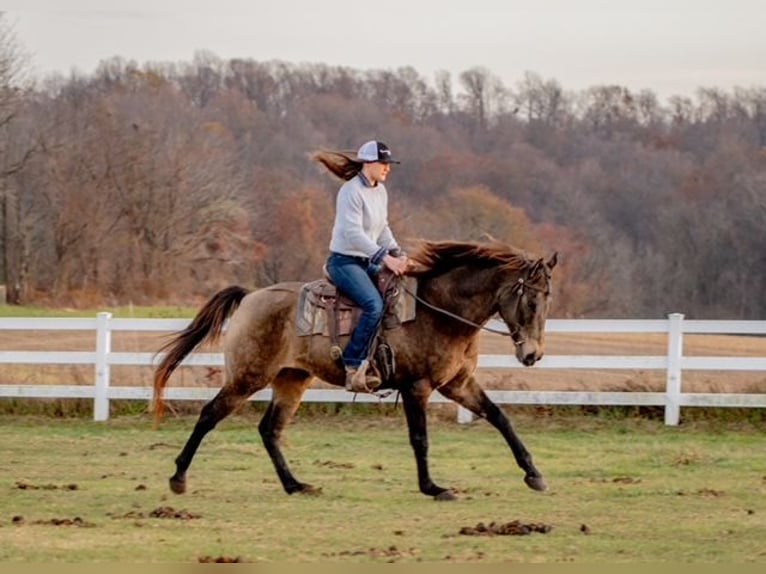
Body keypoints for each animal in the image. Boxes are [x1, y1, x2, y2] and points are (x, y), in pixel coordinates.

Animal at [153, 238, 560, 500]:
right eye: (532, 300)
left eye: (547, 299)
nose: (533, 354)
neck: (440, 311)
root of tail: (252, 296)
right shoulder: (418, 387)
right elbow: (420, 438)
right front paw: (433, 488)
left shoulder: (458, 383)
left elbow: (499, 417)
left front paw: (535, 474)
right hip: (247, 377)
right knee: (210, 414)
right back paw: (178, 477)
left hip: (292, 379)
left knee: (270, 430)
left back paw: (296, 485)